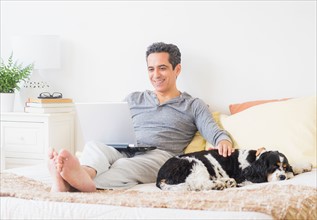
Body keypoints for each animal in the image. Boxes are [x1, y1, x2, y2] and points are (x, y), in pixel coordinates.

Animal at [156, 148, 308, 191]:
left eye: (283, 167)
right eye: (273, 167)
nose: (282, 177)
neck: (254, 161)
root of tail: (159, 176)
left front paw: (302, 167)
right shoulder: (244, 178)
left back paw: (226, 182)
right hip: (194, 163)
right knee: (197, 183)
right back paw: (219, 184)